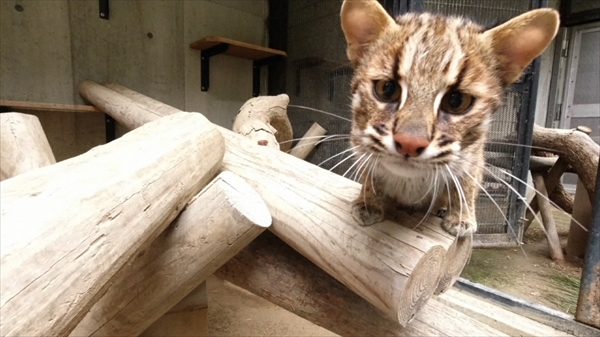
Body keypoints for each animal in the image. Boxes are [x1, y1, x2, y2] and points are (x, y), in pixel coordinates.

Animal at [340, 0, 560, 236]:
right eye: (387, 89)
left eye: (457, 101)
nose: (409, 144)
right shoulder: (359, 140)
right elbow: (369, 172)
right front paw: (368, 201)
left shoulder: (473, 156)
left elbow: (465, 182)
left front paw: (461, 216)